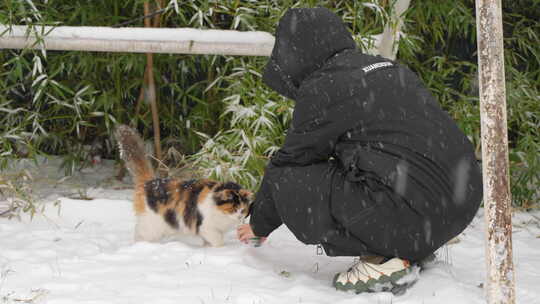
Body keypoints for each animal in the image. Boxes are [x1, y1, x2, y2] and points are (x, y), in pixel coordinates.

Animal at [114, 124, 253, 246]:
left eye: (243, 209)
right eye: (233, 209)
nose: (240, 216)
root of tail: (150, 182)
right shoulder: (207, 227)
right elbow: (218, 241)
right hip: (152, 226)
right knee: (139, 235)